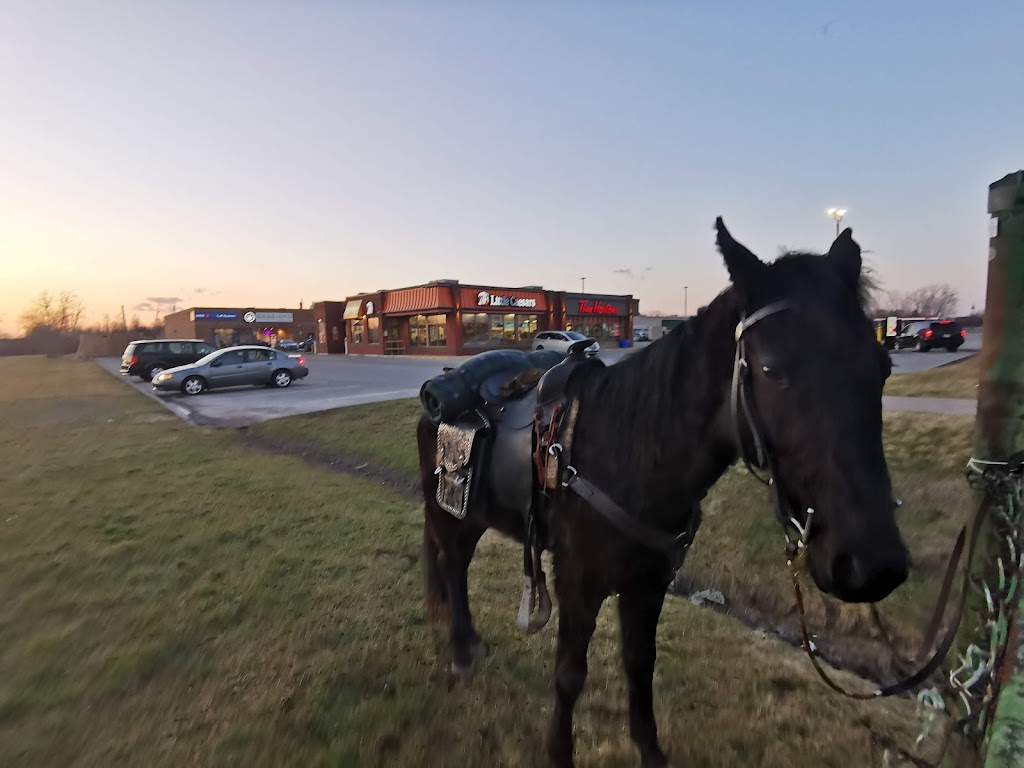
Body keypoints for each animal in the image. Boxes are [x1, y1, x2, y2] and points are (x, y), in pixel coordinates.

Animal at [417, 218, 913, 768]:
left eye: (883, 367)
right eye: (770, 369)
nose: (872, 563)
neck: (629, 448)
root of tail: (439, 389)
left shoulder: (648, 584)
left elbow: (640, 664)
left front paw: (649, 749)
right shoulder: (578, 584)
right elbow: (569, 675)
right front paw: (560, 752)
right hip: (451, 513)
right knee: (452, 565)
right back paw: (461, 652)